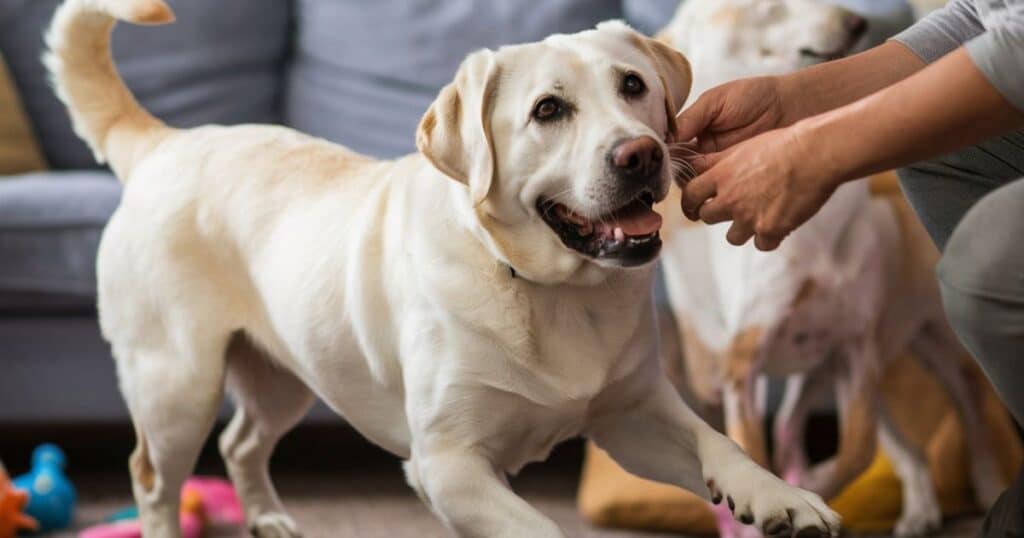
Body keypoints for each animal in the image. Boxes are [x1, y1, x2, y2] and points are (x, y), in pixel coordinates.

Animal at [44, 1, 839, 536]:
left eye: (634, 86)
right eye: (549, 110)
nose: (640, 154)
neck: (547, 290)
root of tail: (164, 142)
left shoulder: (633, 412)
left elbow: (722, 446)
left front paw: (784, 497)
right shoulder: (448, 465)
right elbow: (540, 525)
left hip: (285, 374)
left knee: (241, 444)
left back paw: (269, 517)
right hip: (177, 386)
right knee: (153, 479)